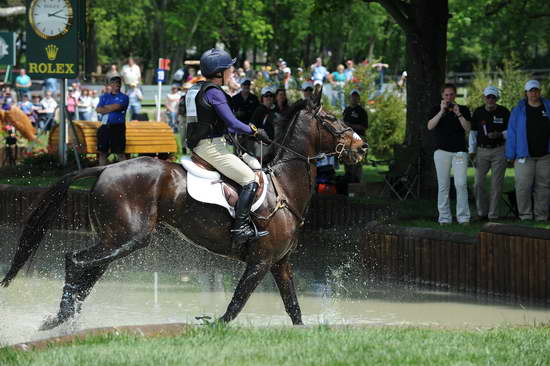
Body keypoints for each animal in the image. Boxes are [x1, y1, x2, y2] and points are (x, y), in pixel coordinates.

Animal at [1, 90, 370, 330]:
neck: (285, 188)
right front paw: (211, 324)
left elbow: (294, 310)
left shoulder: (280, 263)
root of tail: (106, 167)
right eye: (331, 119)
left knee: (88, 270)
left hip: (113, 238)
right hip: (129, 237)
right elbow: (234, 307)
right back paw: (61, 318)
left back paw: (61, 319)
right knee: (76, 262)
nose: (362, 147)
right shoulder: (260, 262)